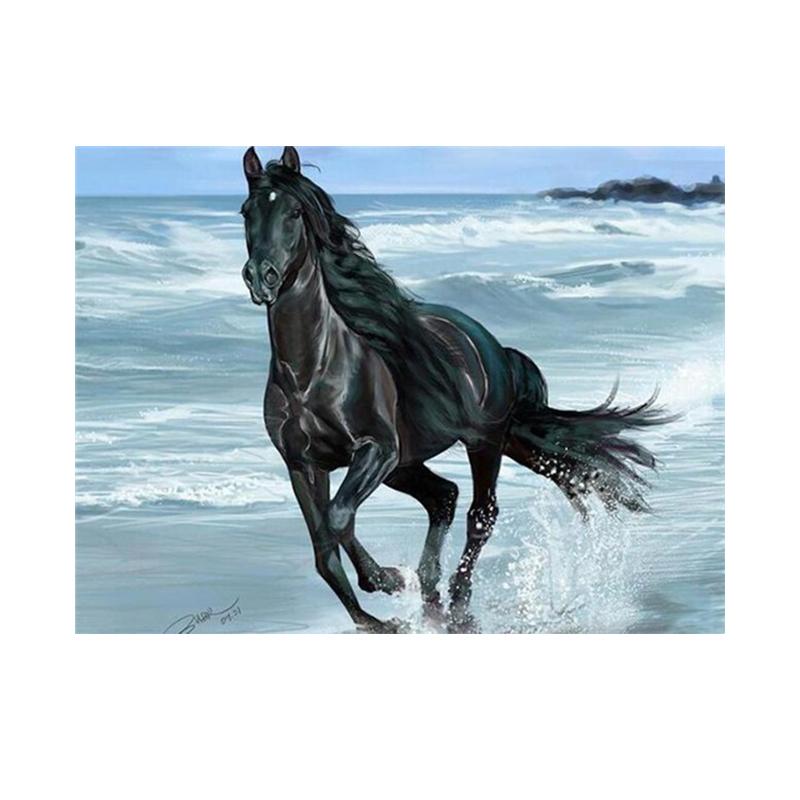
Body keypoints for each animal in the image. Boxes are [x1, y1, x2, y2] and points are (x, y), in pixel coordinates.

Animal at [241, 145, 673, 633]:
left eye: (294, 212)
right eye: (246, 212)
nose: (261, 277)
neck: (311, 373)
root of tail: (493, 347)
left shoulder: (376, 450)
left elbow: (337, 518)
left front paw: (387, 579)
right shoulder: (302, 464)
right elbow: (322, 547)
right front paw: (377, 618)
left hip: (480, 443)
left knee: (479, 515)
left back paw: (458, 606)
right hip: (409, 463)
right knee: (443, 498)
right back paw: (430, 599)